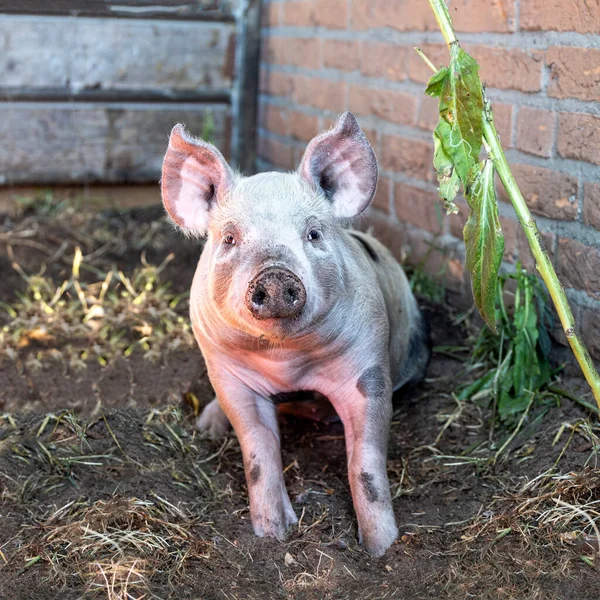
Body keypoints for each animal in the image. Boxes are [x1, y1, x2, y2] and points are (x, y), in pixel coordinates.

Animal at [161, 110, 432, 556]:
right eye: (230, 237)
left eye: (314, 233)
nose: (274, 274)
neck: (285, 361)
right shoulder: (229, 375)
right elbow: (258, 451)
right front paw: (273, 534)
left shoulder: (369, 368)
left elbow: (366, 463)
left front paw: (382, 548)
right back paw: (207, 426)